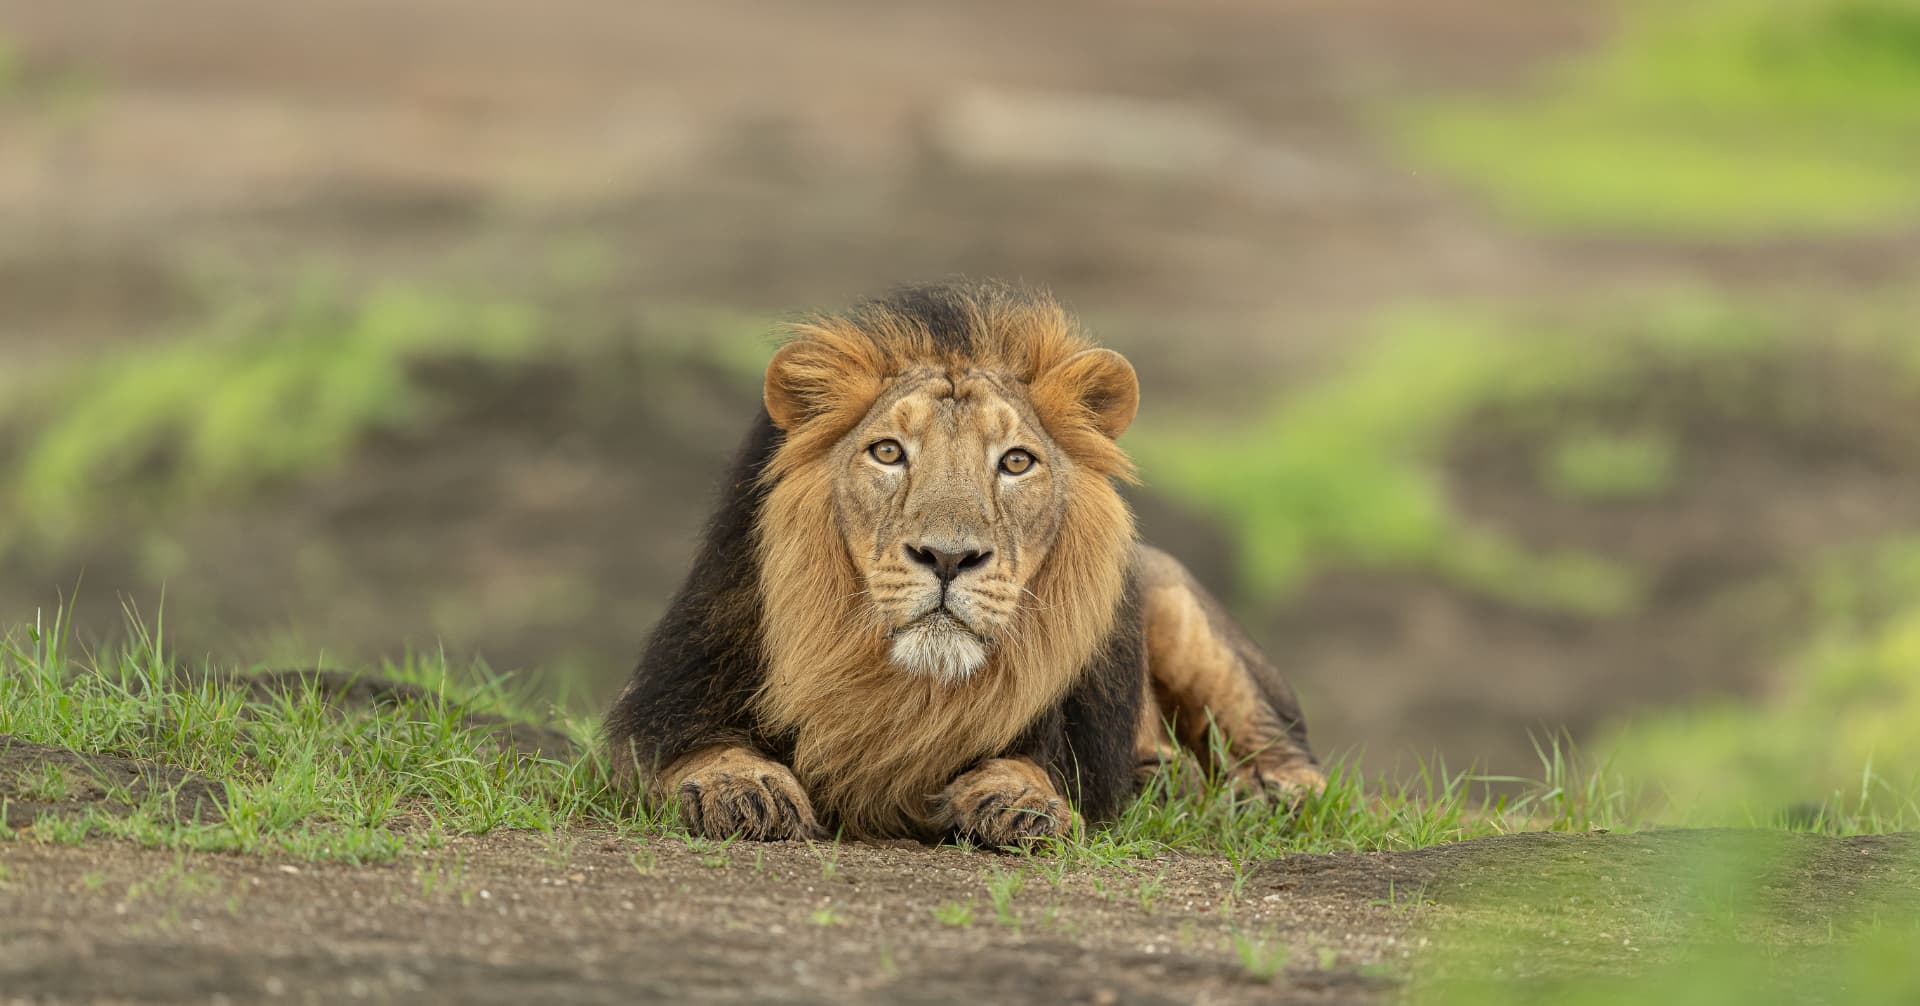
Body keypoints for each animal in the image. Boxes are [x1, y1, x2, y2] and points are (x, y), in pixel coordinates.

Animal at [603, 282, 1325, 846]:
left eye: (1016, 461)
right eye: (888, 452)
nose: (948, 556)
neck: (907, 687)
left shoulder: (1084, 752)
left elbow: (1046, 768)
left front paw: (1020, 799)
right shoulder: (665, 703)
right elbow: (692, 748)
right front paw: (739, 787)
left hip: (1178, 600)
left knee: (1293, 757)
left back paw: (1259, 795)